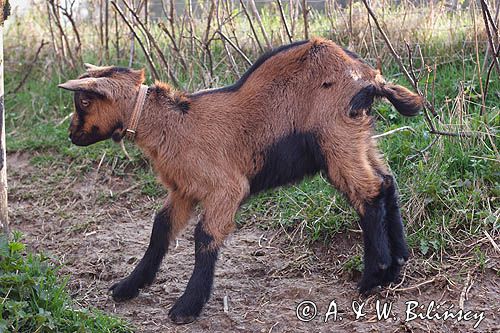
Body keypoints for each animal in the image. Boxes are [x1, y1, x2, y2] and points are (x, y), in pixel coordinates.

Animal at [60, 37, 424, 322]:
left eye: (84, 100)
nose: (72, 135)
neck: (174, 124)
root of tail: (369, 78)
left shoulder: (226, 188)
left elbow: (205, 236)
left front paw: (186, 307)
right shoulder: (183, 190)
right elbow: (160, 228)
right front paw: (127, 286)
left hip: (336, 139)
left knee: (368, 194)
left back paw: (373, 276)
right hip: (359, 137)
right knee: (387, 183)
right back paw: (397, 265)